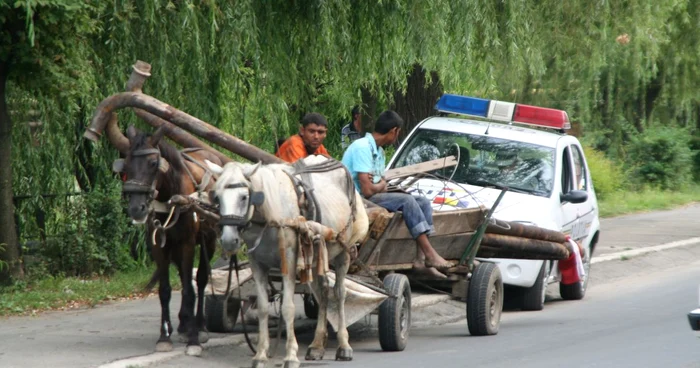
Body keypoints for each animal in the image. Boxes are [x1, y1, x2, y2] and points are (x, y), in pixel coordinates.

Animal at [113, 124, 220, 356]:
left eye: (153, 163)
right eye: (126, 164)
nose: (136, 209)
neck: (171, 197)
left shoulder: (188, 243)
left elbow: (189, 290)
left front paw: (194, 340)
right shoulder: (158, 246)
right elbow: (164, 290)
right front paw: (164, 336)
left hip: (209, 240)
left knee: (201, 280)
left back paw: (199, 326)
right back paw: (183, 324)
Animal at [206, 155, 366, 368]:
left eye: (244, 197)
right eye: (217, 198)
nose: (228, 240)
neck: (268, 218)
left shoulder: (289, 262)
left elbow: (288, 308)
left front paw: (291, 355)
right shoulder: (257, 265)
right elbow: (263, 308)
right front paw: (260, 355)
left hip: (343, 252)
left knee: (340, 293)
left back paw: (344, 346)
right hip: (316, 255)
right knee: (323, 292)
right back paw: (317, 345)